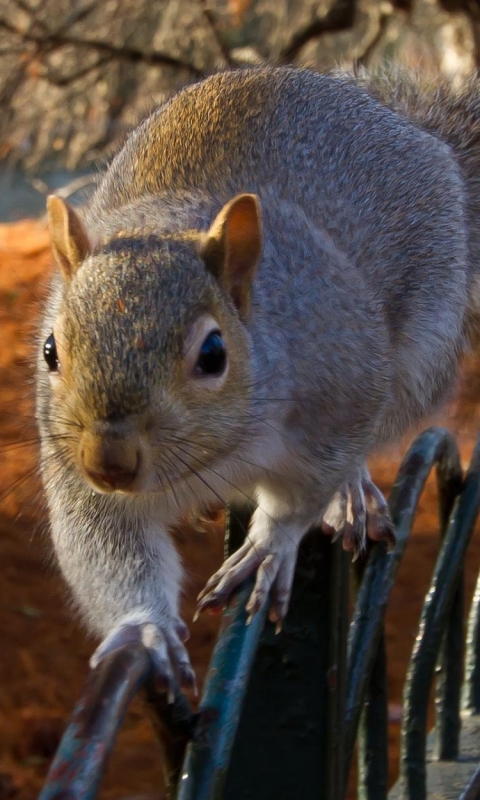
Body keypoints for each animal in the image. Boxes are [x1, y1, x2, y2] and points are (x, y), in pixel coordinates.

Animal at [38, 67, 472, 692]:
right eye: (50, 350)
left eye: (213, 354)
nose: (109, 463)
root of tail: (415, 131)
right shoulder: (72, 469)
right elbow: (106, 547)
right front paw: (145, 628)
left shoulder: (338, 395)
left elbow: (300, 495)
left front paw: (269, 546)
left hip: (421, 351)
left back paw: (352, 494)